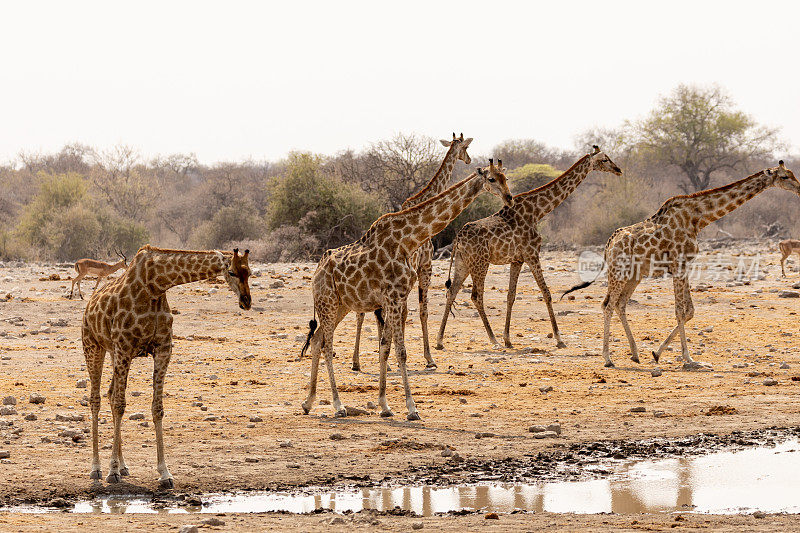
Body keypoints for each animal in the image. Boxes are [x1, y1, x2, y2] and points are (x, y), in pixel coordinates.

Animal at [81, 245, 250, 486]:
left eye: (250, 272)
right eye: (232, 272)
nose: (246, 301)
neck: (156, 285)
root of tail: (88, 306)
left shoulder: (162, 349)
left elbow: (157, 408)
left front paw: (164, 473)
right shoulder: (124, 346)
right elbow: (121, 405)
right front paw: (111, 471)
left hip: (113, 353)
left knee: (110, 394)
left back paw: (123, 466)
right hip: (94, 346)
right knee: (96, 399)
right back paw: (96, 468)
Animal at [300, 159, 512, 420]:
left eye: (505, 177)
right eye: (492, 179)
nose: (509, 198)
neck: (408, 240)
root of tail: (316, 273)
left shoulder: (397, 298)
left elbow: (385, 347)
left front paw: (385, 405)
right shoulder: (393, 296)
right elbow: (400, 351)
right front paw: (412, 408)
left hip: (341, 306)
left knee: (317, 338)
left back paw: (308, 402)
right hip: (328, 302)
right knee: (327, 346)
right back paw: (338, 405)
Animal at [354, 131, 472, 370]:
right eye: (465, 147)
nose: (469, 160)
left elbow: (404, 313)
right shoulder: (424, 266)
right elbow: (421, 311)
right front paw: (428, 358)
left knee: (366, 312)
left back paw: (358, 362)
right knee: (377, 312)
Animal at [434, 145, 620, 350]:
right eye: (604, 159)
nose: (618, 169)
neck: (537, 211)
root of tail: (458, 238)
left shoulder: (517, 260)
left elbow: (511, 296)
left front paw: (508, 339)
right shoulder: (532, 254)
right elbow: (546, 293)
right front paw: (559, 339)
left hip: (463, 263)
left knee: (452, 291)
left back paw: (440, 341)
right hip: (480, 263)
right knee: (476, 296)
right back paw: (493, 339)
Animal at [564, 160, 800, 368]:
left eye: (792, 174)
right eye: (785, 176)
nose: (799, 189)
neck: (698, 218)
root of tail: (610, 242)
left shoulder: (685, 265)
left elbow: (690, 311)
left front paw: (657, 353)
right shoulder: (678, 265)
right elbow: (679, 311)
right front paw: (688, 358)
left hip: (634, 274)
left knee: (620, 304)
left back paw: (635, 354)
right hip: (619, 271)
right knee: (607, 305)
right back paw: (608, 358)